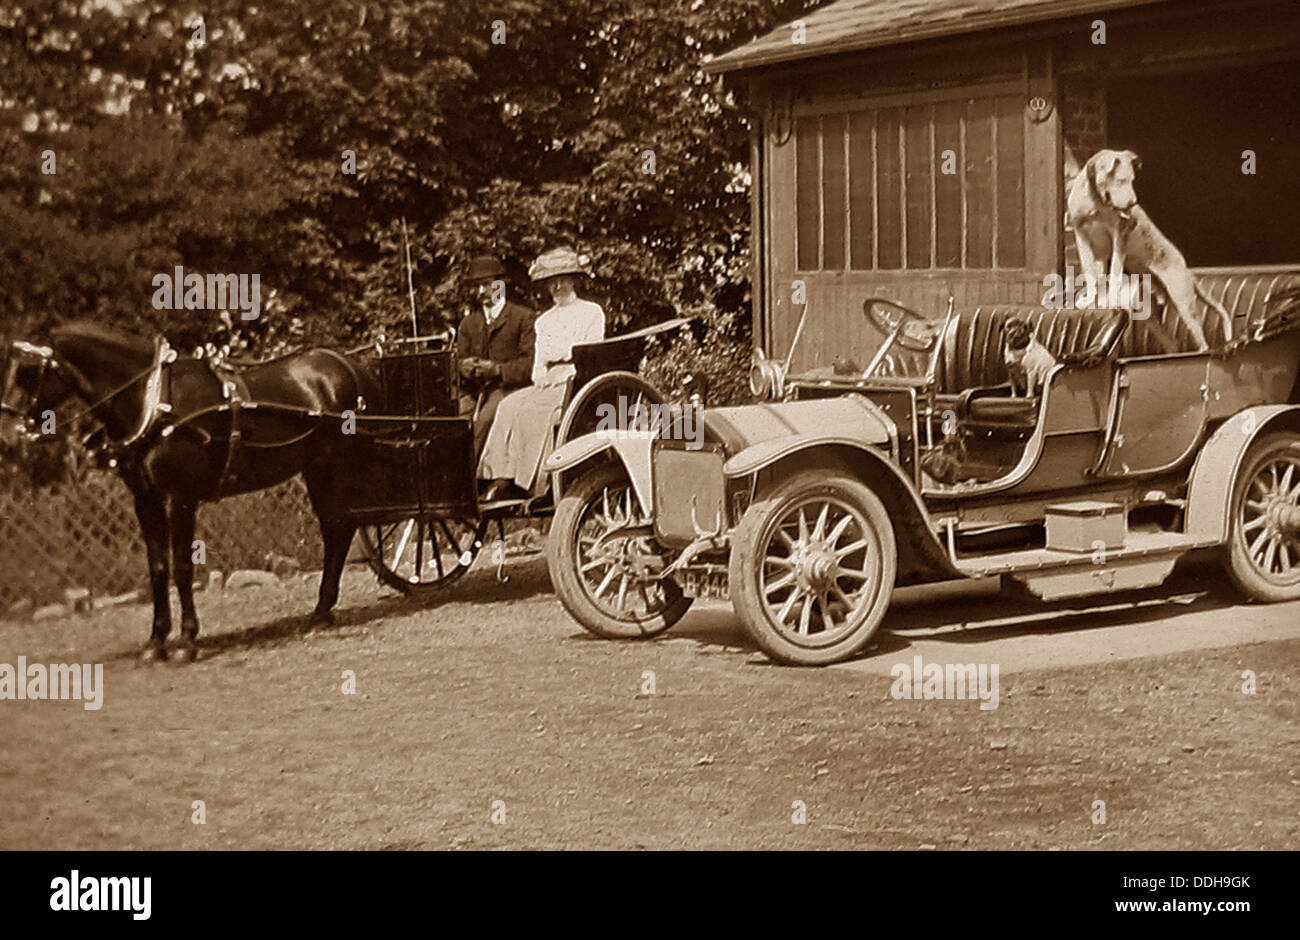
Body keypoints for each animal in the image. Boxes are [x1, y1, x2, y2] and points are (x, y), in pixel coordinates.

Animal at [0, 321, 379, 663]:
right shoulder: (146, 500)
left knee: (344, 526)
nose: (6, 434)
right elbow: (157, 568)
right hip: (316, 467)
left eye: (28, 371)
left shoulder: (180, 499)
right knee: (335, 528)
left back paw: (323, 608)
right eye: (11, 366)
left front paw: (186, 640)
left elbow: (182, 566)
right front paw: (156, 641)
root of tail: (347, 363)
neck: (152, 401)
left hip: (342, 463)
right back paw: (321, 611)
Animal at [1066, 150, 1227, 353]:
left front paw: (1111, 298)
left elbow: (1115, 271)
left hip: (1183, 302)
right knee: (1173, 343)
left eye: (1132, 180)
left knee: (1201, 339)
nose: (1134, 202)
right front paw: (1093, 299)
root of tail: (1185, 267)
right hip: (1149, 316)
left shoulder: (1119, 236)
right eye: (1121, 180)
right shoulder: (1082, 238)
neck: (1096, 201)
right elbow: (1091, 273)